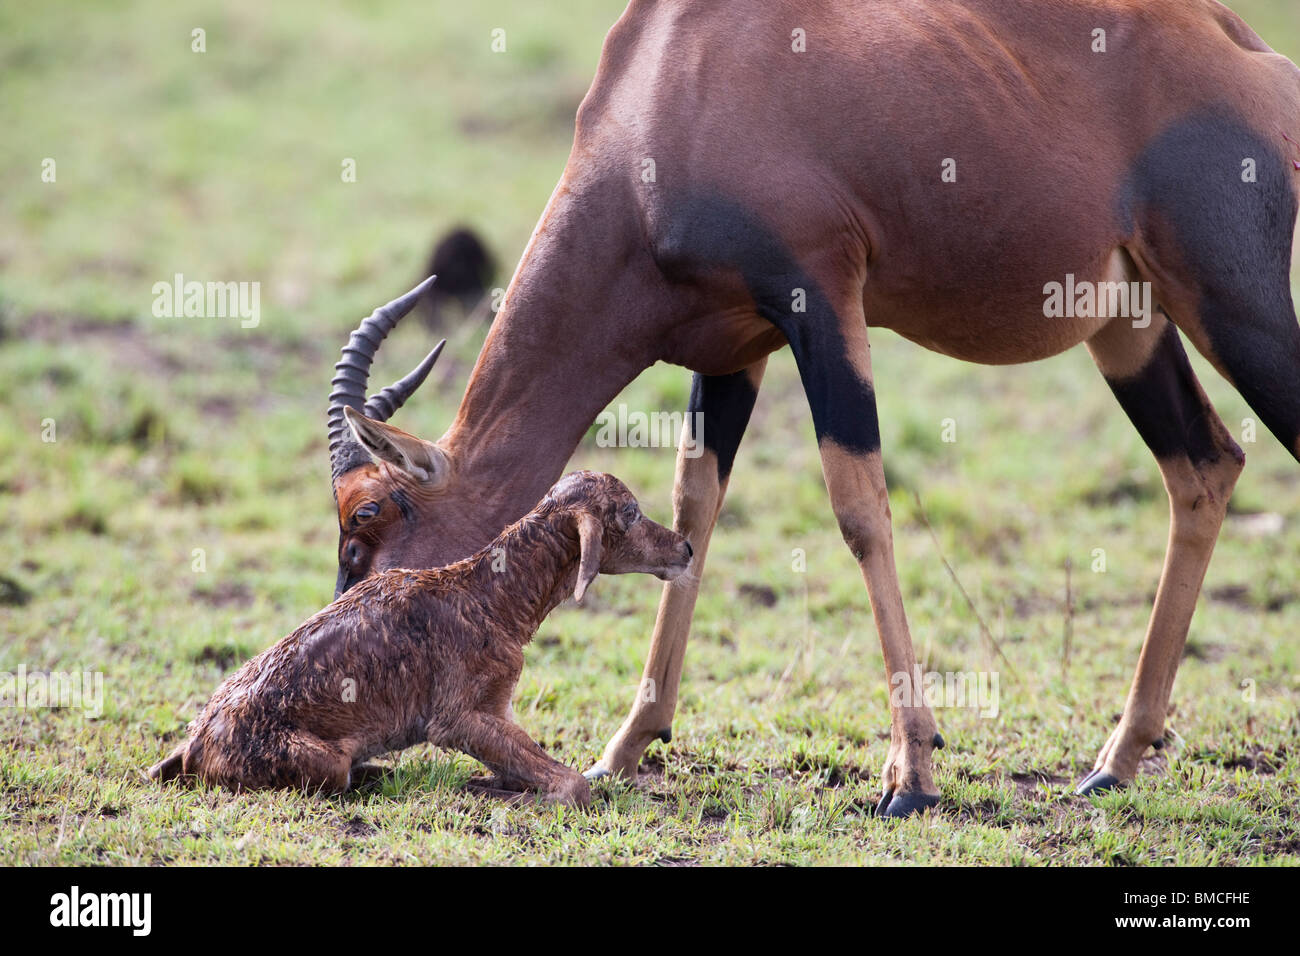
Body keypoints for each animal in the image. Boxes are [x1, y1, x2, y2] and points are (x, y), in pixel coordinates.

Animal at [144, 473, 691, 806]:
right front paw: (494, 791)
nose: (685, 547)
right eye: (630, 512)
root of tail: (194, 745)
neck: (490, 598)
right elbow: (574, 785)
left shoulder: (498, 709)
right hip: (325, 761)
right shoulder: (456, 719)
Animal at [319, 1, 1300, 822]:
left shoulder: (821, 299)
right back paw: (1114, 762)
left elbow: (860, 511)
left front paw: (912, 776)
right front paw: (625, 749)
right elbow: (692, 516)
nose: (337, 671)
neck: (674, 75)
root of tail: (1252, 54)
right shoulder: (733, 350)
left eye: (365, 520)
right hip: (1127, 320)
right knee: (1205, 467)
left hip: (1234, 304)